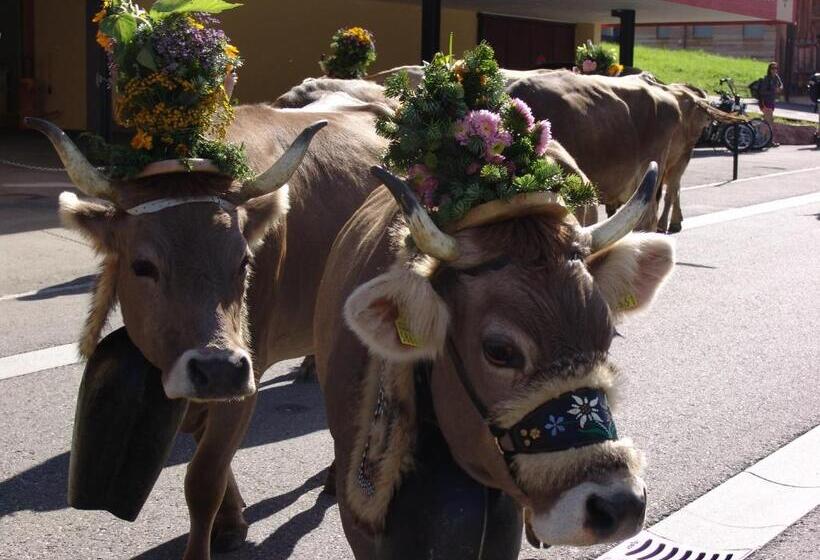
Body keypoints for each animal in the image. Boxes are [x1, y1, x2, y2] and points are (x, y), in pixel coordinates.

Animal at [31, 103, 388, 556]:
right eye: (142, 266)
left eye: (244, 261)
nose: (217, 368)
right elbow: (214, 463)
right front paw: (232, 523)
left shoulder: (247, 371)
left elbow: (203, 480)